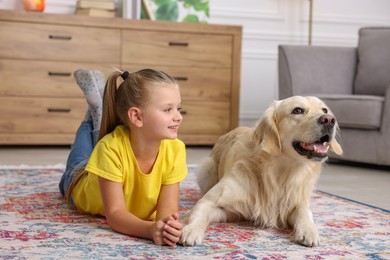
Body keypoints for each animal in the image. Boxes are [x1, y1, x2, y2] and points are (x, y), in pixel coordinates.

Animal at [181, 96, 342, 248]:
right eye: (297, 110)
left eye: (324, 110)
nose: (329, 120)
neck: (280, 173)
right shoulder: (215, 203)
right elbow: (199, 213)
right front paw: (191, 230)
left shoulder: (296, 202)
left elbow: (304, 212)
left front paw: (309, 230)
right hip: (206, 171)